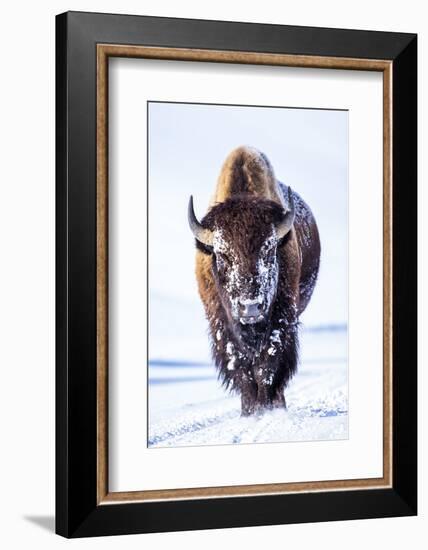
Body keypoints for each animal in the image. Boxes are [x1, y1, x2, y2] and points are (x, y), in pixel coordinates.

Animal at [189, 146, 320, 414]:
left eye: (269, 251)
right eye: (222, 255)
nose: (250, 307)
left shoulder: (282, 317)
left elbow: (267, 364)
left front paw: (267, 408)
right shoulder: (221, 323)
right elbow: (241, 367)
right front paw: (250, 411)